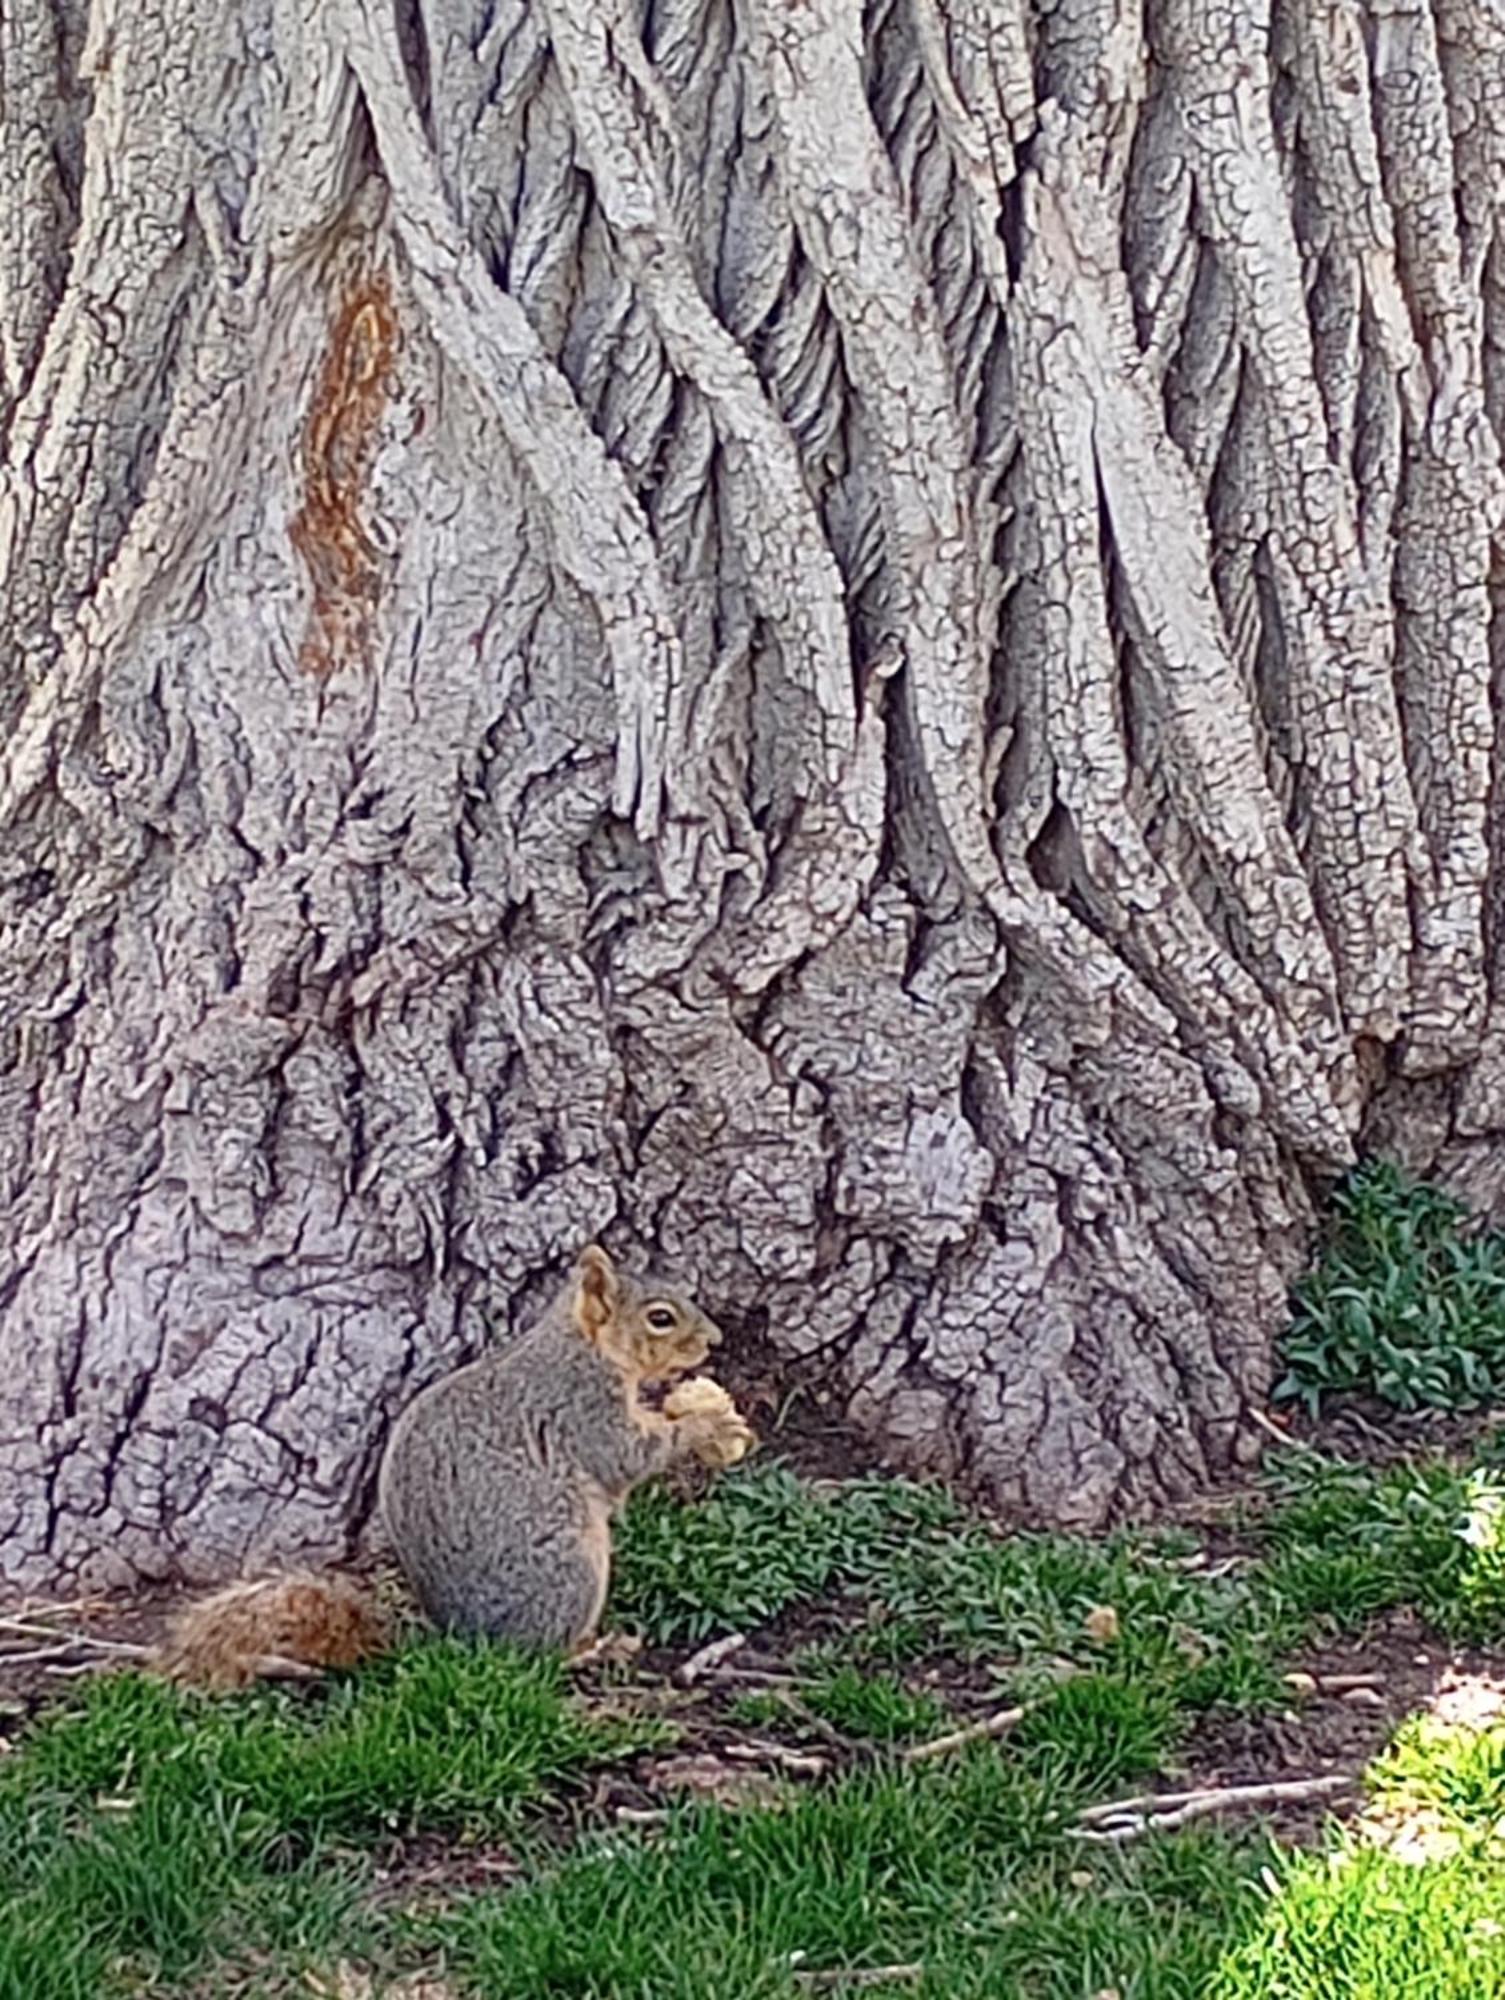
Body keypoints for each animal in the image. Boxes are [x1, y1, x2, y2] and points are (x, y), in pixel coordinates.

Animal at [156, 1248, 752, 1688]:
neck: (583, 1346)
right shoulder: (581, 1407)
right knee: (537, 1656)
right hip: (571, 1570)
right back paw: (593, 1650)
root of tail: (463, 1636)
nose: (717, 1340)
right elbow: (626, 1456)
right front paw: (704, 1425)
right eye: (660, 1318)